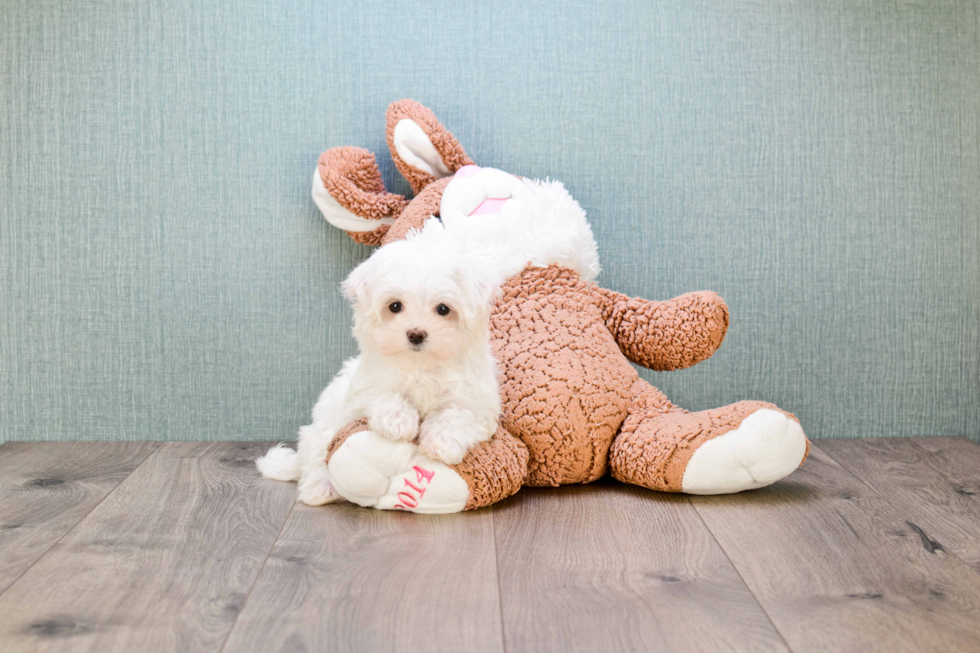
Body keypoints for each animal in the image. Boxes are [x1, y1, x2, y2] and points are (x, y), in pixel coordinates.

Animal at [256, 229, 502, 504]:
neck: (421, 367)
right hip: (324, 427)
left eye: (443, 309)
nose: (416, 334)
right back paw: (321, 487)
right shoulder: (365, 390)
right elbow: (383, 396)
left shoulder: (477, 402)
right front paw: (399, 421)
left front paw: (442, 441)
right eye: (395, 306)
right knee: (316, 457)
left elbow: (459, 415)